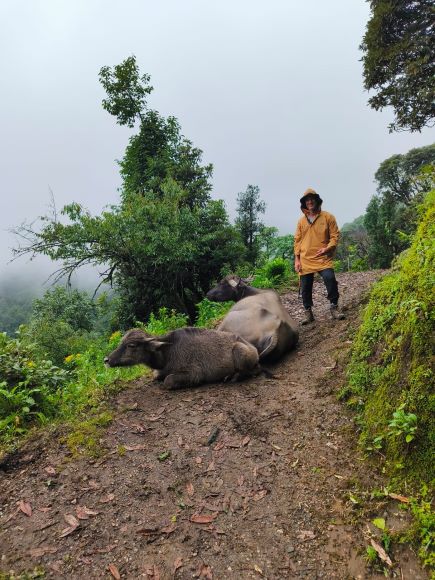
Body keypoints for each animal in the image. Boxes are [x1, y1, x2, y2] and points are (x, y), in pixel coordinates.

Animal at [104, 326, 262, 390]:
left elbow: (168, 381)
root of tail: (253, 349)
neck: (167, 353)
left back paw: (231, 376)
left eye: (131, 345)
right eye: (121, 342)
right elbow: (156, 375)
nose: (106, 360)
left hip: (239, 351)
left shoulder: (195, 373)